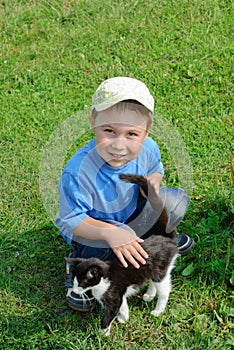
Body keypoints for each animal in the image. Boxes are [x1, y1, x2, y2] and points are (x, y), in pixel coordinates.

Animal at [66, 175, 179, 336]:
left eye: (81, 283)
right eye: (73, 281)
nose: (75, 291)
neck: (104, 278)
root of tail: (166, 237)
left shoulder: (112, 295)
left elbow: (109, 314)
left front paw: (102, 333)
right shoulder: (119, 294)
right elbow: (123, 305)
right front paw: (124, 318)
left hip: (161, 269)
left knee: (164, 290)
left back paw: (158, 310)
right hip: (151, 269)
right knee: (153, 281)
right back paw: (149, 295)